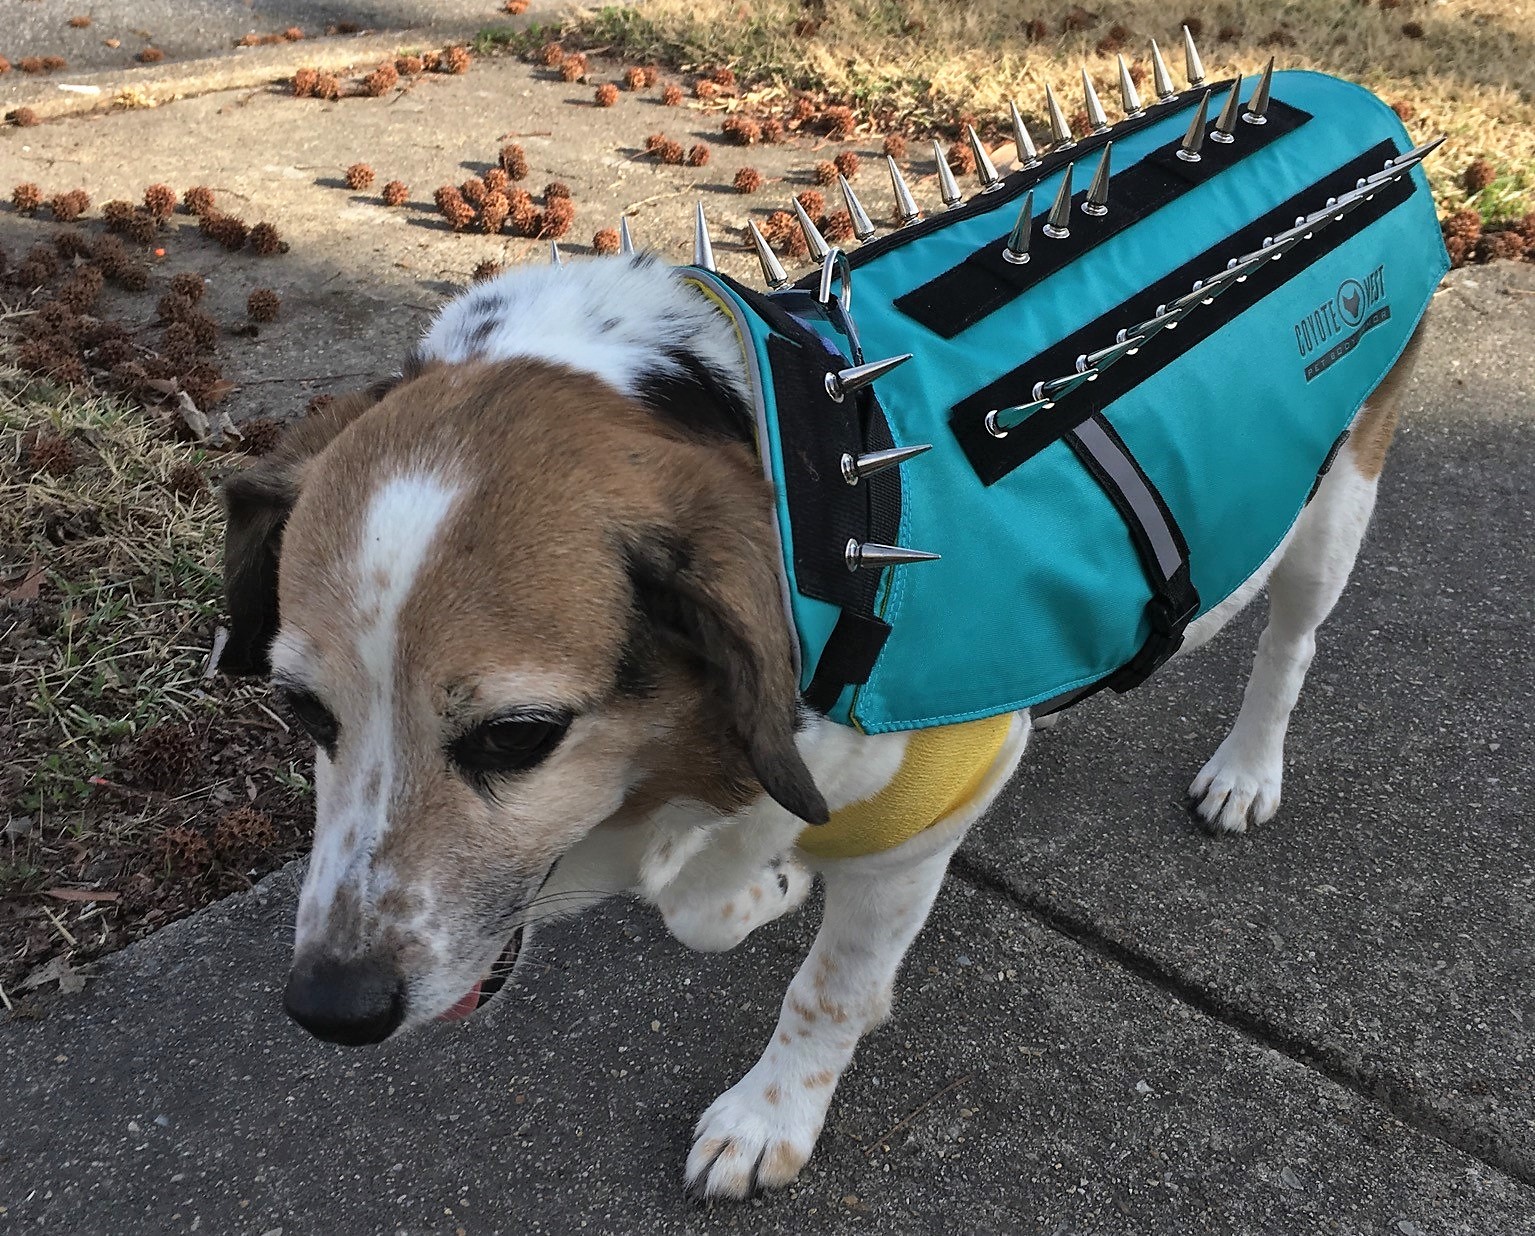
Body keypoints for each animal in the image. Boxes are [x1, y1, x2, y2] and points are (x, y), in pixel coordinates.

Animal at [222, 248, 1418, 1197]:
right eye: (299, 709)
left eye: (515, 737)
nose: (329, 1009)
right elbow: (707, 899)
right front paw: (767, 886)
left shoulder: (927, 810)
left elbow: (827, 989)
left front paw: (771, 1112)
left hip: (1335, 507)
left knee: (1289, 645)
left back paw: (1245, 769)